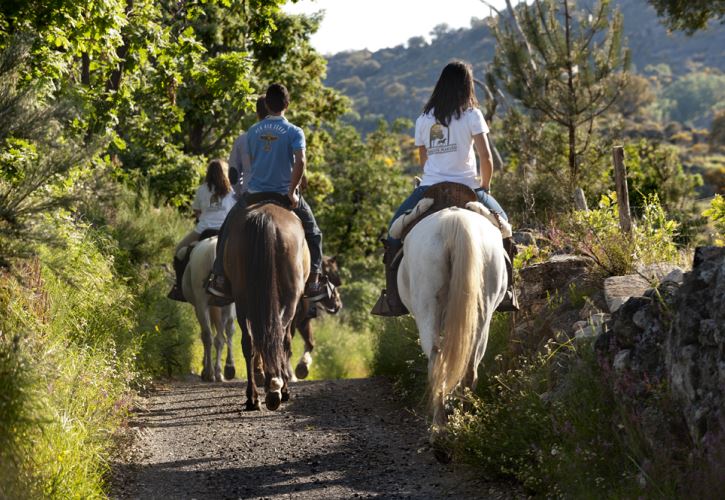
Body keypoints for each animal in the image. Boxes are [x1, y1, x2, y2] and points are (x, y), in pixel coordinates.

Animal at [180, 237, 236, 382]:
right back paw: (224, 370)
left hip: (202, 303)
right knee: (224, 333)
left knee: (209, 336)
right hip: (225, 303)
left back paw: (210, 372)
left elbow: (206, 334)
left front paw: (205, 368)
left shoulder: (200, 306)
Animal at [225, 201, 308, 411]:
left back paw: (253, 398)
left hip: (242, 299)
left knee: (249, 342)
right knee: (278, 336)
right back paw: (276, 389)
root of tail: (266, 218)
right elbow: (287, 342)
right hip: (290, 298)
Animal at [394, 202, 509, 429]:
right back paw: (464, 419)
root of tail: (454, 222)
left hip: (427, 309)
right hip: (482, 312)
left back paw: (439, 425)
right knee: (469, 366)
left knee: (436, 359)